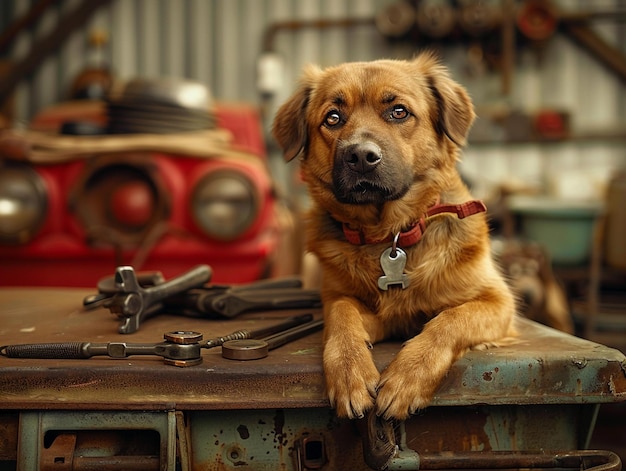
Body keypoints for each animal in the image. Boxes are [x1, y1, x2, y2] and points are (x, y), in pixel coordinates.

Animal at [270, 53, 516, 422]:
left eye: (398, 111)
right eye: (333, 118)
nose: (360, 156)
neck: (389, 236)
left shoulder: (499, 303)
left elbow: (449, 320)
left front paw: (407, 378)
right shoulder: (341, 298)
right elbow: (342, 316)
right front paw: (350, 372)